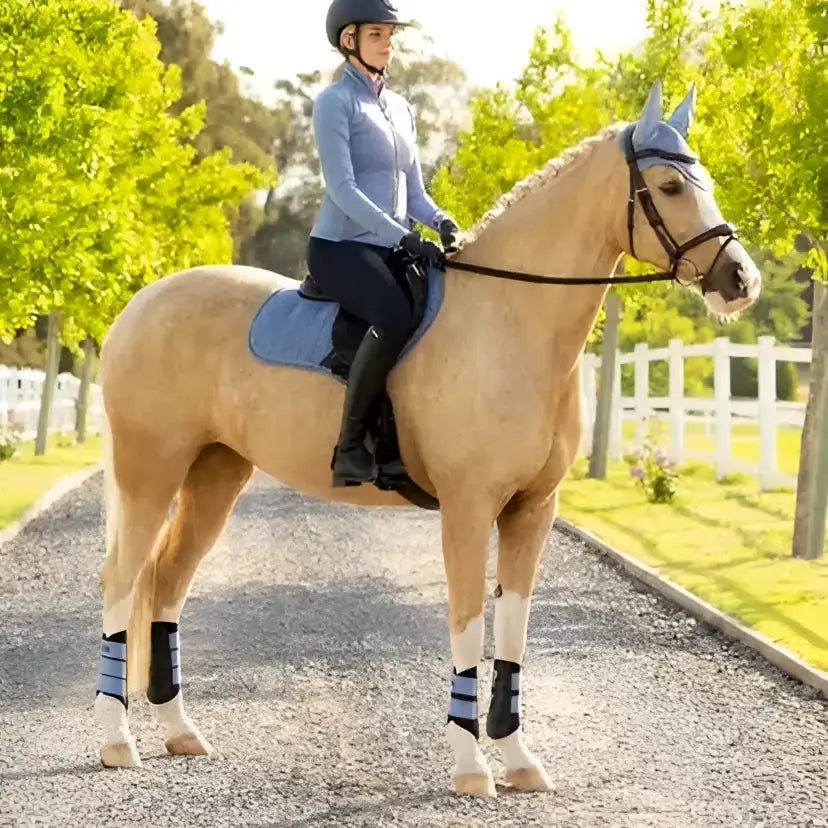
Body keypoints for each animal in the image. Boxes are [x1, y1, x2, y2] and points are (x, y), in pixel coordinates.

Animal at [93, 80, 761, 797]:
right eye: (669, 185)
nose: (740, 281)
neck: (509, 323)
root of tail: (142, 303)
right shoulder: (467, 509)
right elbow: (467, 625)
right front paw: (471, 766)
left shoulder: (532, 511)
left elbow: (512, 630)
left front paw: (518, 759)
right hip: (150, 472)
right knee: (121, 581)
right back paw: (116, 741)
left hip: (216, 474)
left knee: (166, 581)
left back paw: (179, 730)